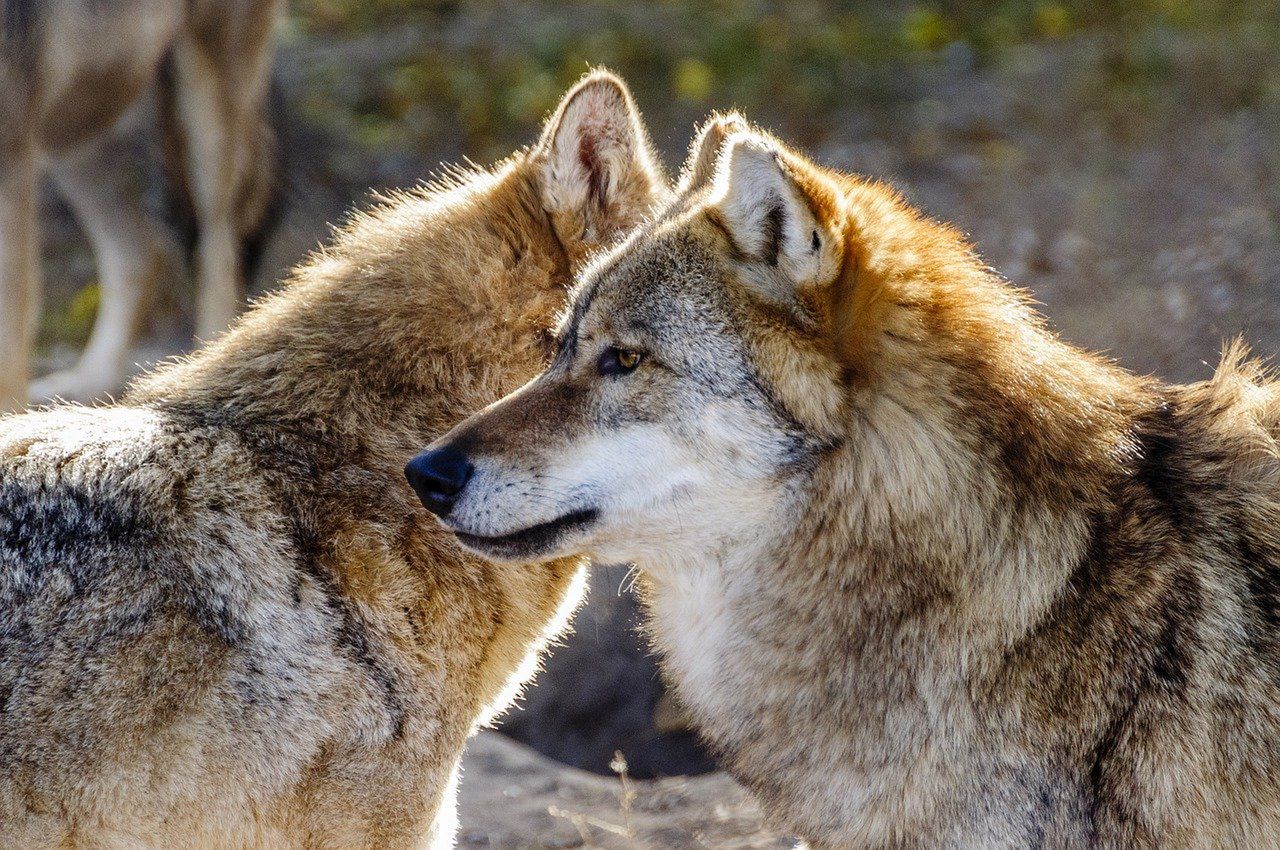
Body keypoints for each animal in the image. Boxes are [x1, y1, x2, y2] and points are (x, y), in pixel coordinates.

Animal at [0, 0, 285, 412]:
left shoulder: (12, 156)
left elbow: (9, 343)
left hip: (205, 107)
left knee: (218, 255)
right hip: (73, 131)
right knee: (142, 252)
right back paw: (87, 389)